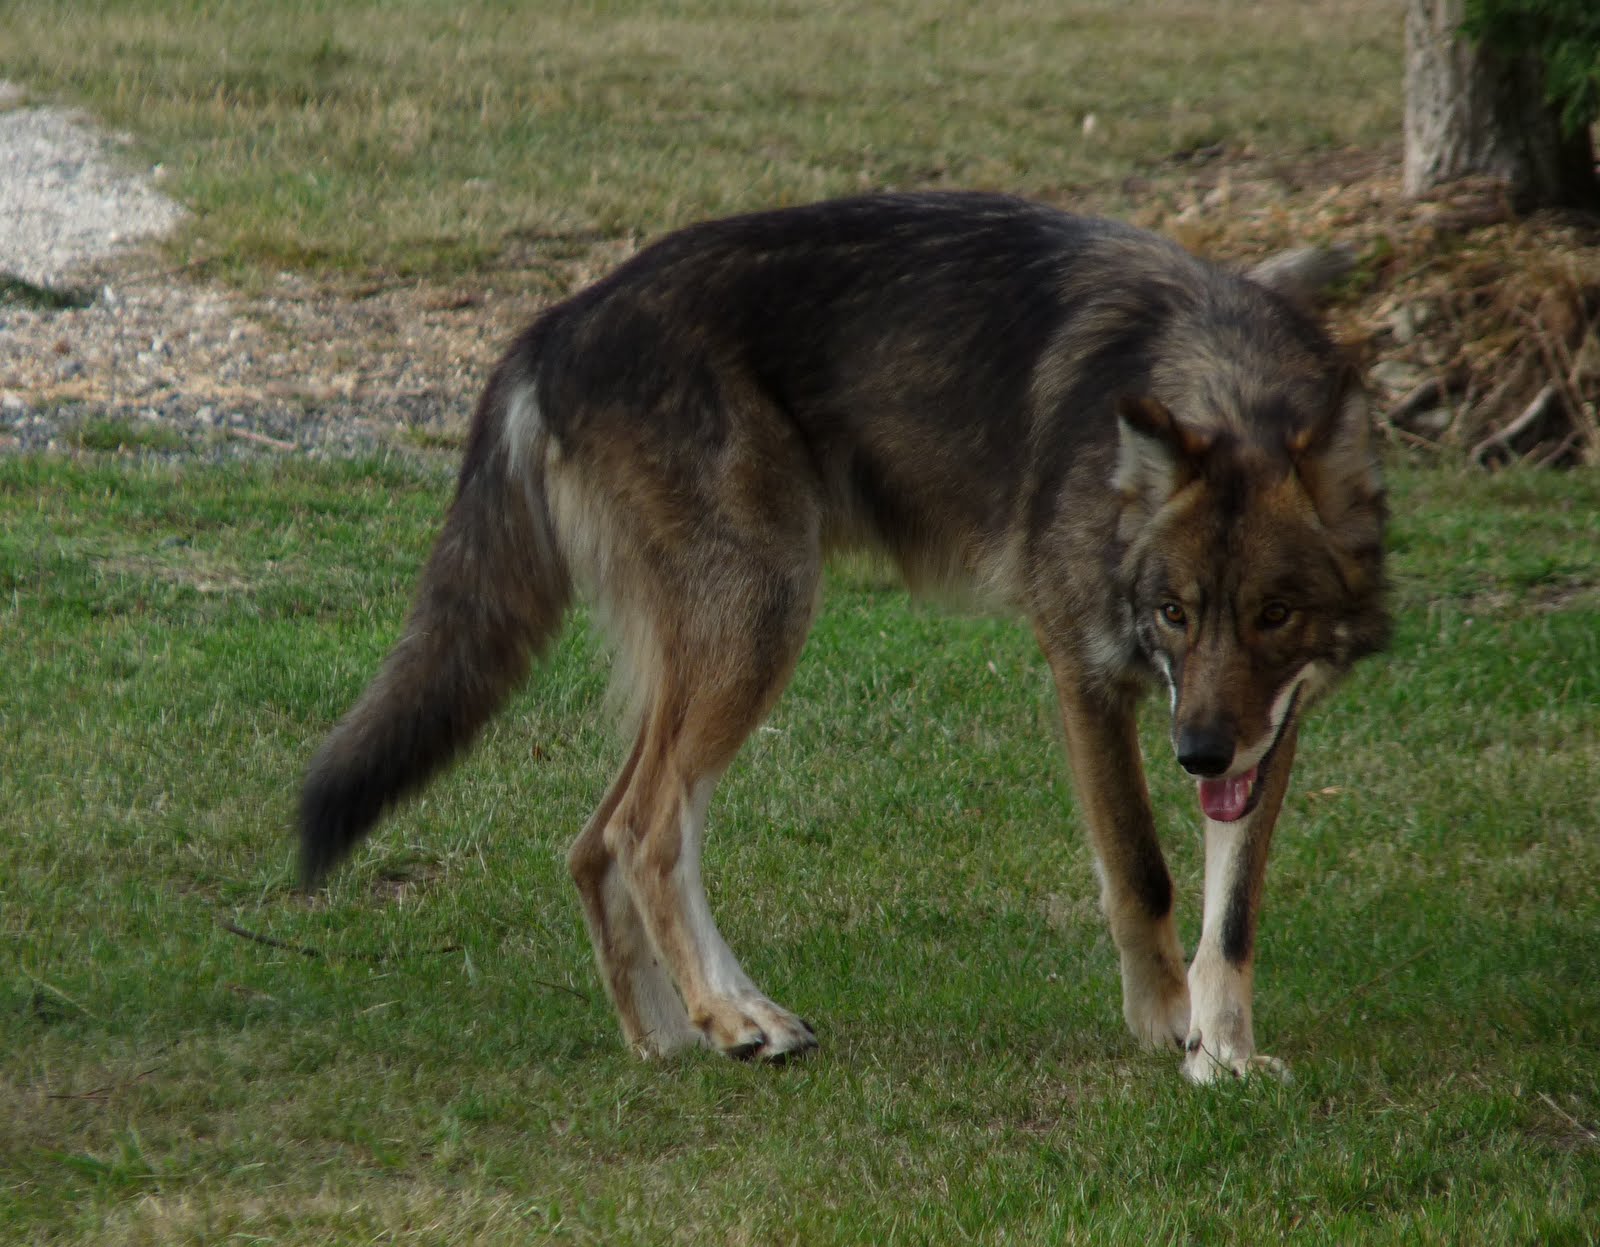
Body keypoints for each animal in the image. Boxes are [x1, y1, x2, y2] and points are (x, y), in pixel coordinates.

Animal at [299, 192, 1389, 1083]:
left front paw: (1225, 1048)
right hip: (763, 621)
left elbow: (1232, 908)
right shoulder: (1088, 675)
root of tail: (553, 325)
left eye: (1274, 615)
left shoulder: (1266, 722)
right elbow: (1143, 868)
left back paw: (669, 1036)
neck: (1215, 371)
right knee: (643, 829)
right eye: (1173, 611)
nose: (1196, 753)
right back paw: (735, 1016)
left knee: (592, 842)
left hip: (714, 647)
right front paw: (1168, 1025)